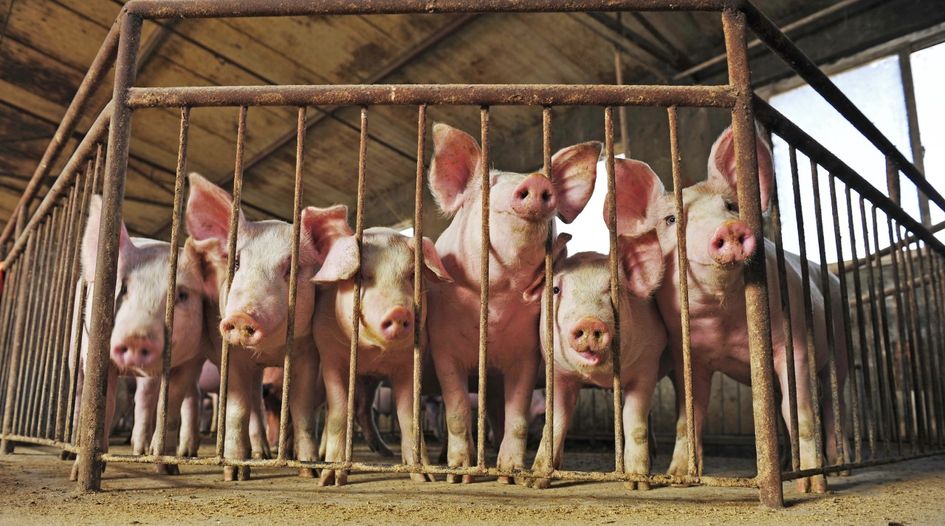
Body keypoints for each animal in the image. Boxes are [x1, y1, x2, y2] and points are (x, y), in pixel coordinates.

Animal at [70, 195, 206, 479]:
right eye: (123, 288)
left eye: (182, 295)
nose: (136, 337)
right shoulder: (95, 352)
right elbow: (102, 406)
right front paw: (82, 473)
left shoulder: (192, 359)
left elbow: (170, 407)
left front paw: (168, 469)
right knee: (78, 394)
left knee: (145, 398)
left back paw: (144, 451)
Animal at [313, 224, 453, 486]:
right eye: (361, 276)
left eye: (412, 275)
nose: (398, 312)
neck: (372, 354)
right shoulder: (330, 356)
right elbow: (339, 413)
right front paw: (331, 479)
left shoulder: (409, 363)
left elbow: (409, 416)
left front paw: (425, 477)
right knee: (336, 412)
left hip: (371, 381)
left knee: (362, 409)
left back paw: (385, 452)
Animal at [426, 123, 601, 483]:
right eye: (487, 190)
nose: (535, 182)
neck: (495, 300)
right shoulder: (442, 347)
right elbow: (457, 411)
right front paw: (459, 474)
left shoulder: (527, 353)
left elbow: (518, 415)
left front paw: (511, 474)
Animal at [522, 230, 666, 490]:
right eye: (555, 290)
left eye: (613, 288)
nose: (589, 322)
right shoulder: (558, 373)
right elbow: (555, 421)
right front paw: (534, 481)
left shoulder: (648, 363)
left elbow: (634, 422)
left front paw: (637, 483)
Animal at [612, 128, 848, 492]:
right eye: (671, 219)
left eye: (732, 206)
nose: (730, 228)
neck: (721, 320)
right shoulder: (687, 354)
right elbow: (690, 414)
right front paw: (677, 477)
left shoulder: (793, 342)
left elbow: (801, 412)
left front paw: (810, 486)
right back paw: (785, 464)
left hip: (840, 349)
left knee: (834, 406)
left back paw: (838, 470)